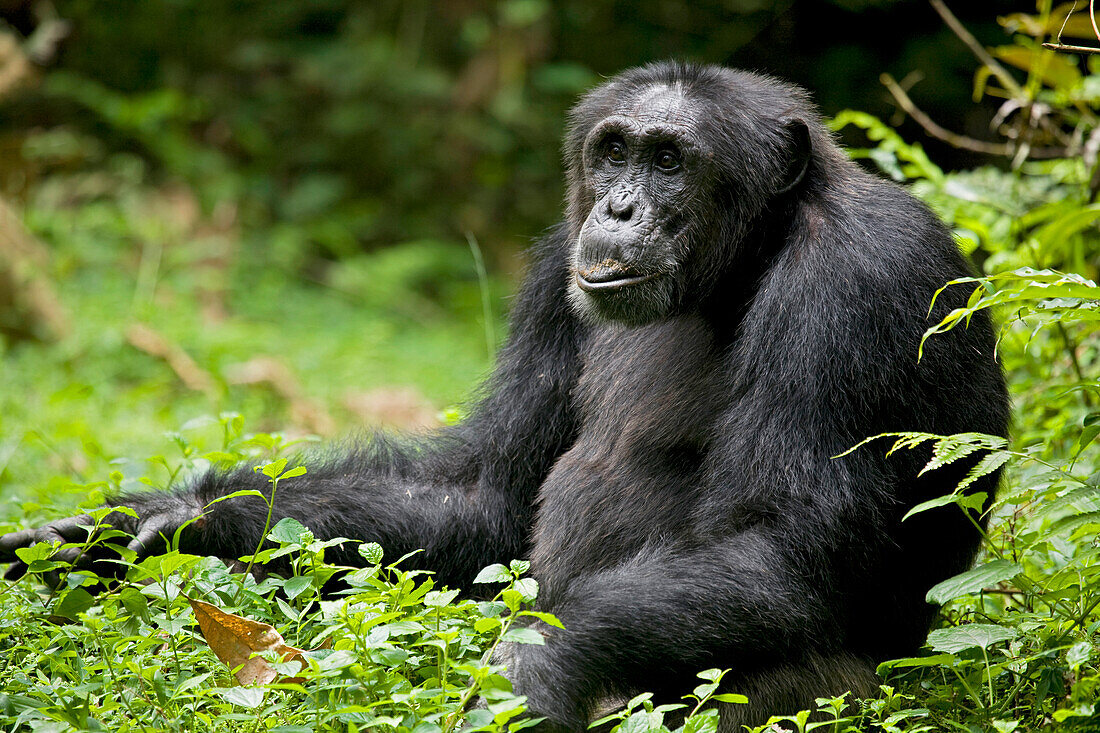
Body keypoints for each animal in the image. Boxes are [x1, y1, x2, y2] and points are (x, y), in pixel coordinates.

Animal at [4, 64, 1007, 730]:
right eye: (616, 151)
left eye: (671, 161)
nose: (619, 208)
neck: (741, 261)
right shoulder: (550, 272)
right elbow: (489, 491)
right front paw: (176, 516)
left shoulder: (858, 284)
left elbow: (783, 547)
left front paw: (536, 667)